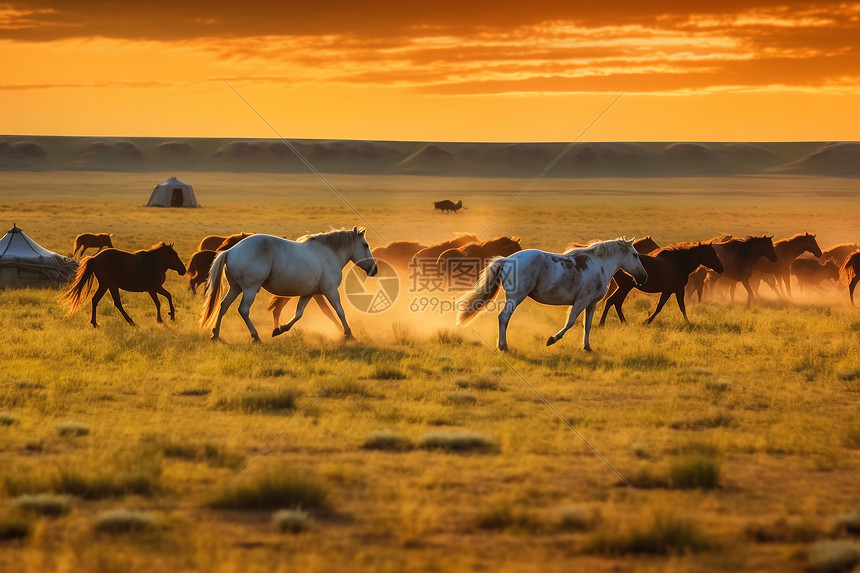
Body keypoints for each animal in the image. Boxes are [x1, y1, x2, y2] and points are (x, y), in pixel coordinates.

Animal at [203, 227, 378, 342]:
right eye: (365, 245)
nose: (374, 269)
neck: (329, 254)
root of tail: (230, 251)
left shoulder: (309, 293)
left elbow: (298, 313)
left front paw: (280, 329)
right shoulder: (330, 291)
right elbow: (339, 311)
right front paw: (349, 334)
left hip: (236, 288)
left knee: (223, 305)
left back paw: (215, 334)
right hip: (250, 289)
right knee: (243, 310)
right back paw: (255, 336)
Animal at [456, 238, 644, 354]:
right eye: (635, 255)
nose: (644, 277)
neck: (598, 266)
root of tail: (507, 260)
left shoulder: (591, 304)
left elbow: (587, 325)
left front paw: (587, 347)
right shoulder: (581, 301)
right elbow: (570, 322)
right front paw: (552, 339)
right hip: (516, 298)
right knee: (503, 318)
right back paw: (504, 346)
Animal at [596, 240, 724, 324]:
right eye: (713, 253)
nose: (721, 268)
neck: (680, 263)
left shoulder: (669, 291)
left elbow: (661, 307)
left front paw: (647, 321)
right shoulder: (678, 290)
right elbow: (679, 307)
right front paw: (688, 323)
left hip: (624, 287)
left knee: (615, 302)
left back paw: (622, 322)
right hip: (625, 287)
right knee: (613, 301)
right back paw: (603, 323)